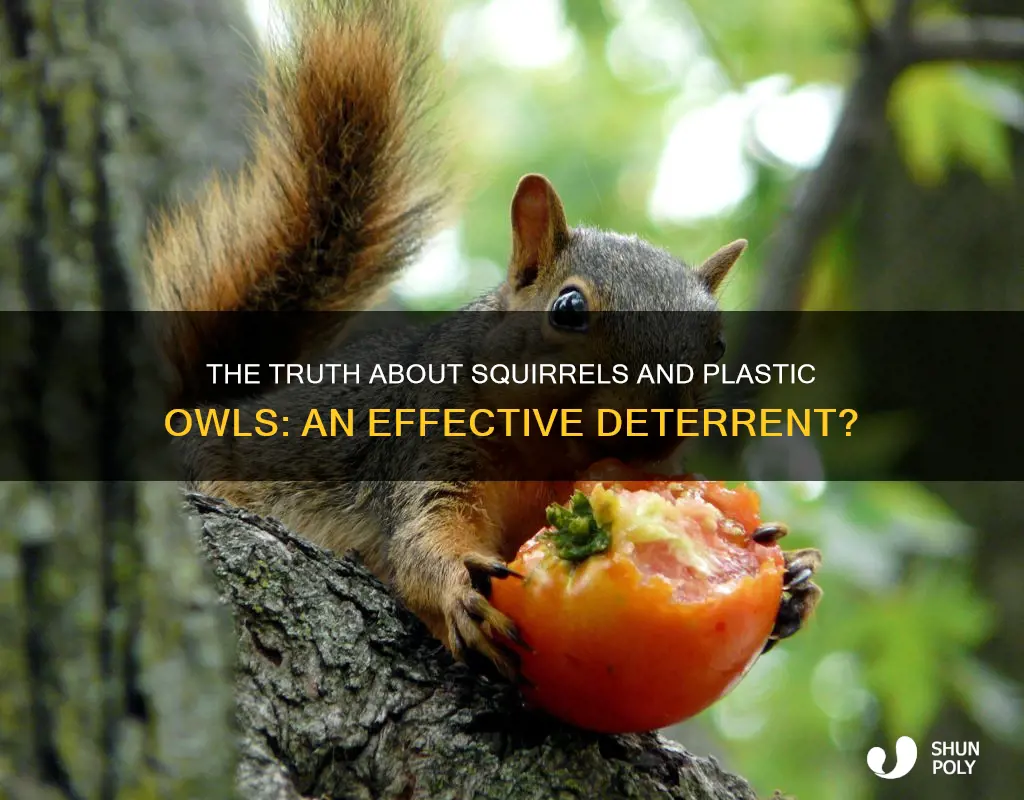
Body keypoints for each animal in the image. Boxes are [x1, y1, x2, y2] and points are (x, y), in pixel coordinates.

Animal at [146, 0, 821, 678]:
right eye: (568, 309)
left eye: (718, 347)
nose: (656, 428)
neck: (548, 461)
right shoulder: (426, 441)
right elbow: (424, 532)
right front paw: (459, 586)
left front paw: (792, 580)